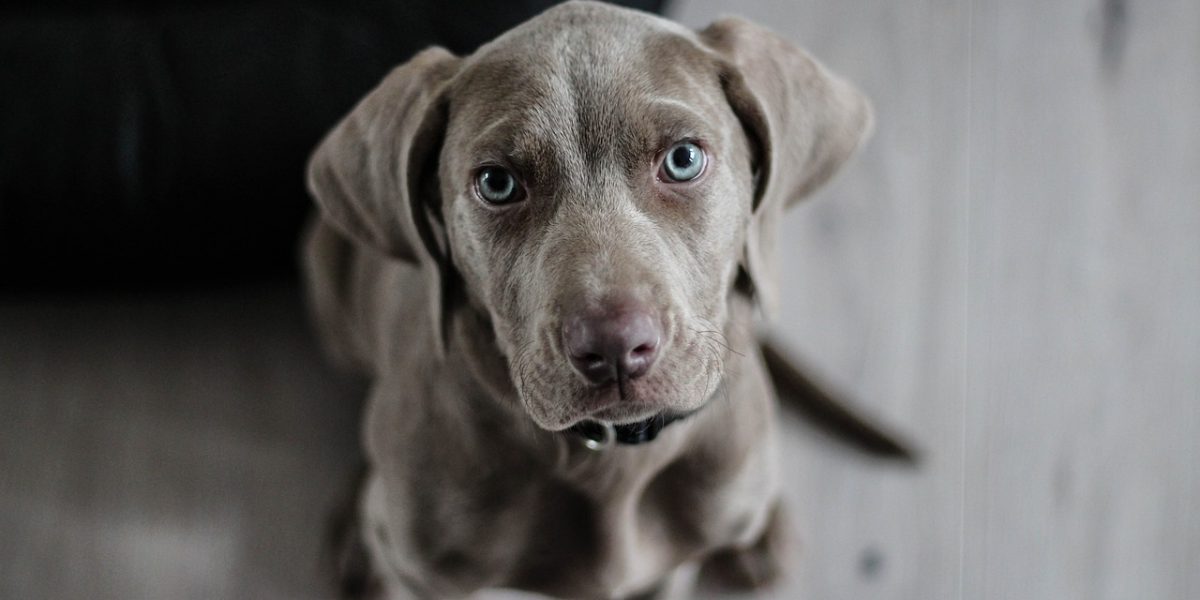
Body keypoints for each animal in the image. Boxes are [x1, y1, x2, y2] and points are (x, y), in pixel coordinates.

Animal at [302, 2, 873, 597]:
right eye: (497, 183)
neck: (612, 459)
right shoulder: (422, 578)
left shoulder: (669, 569)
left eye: (684, 159)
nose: (615, 347)